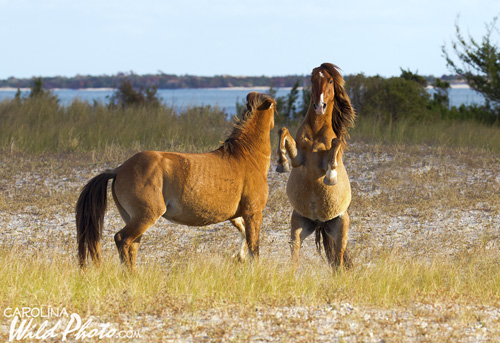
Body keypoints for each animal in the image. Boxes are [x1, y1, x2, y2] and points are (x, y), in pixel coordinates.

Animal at [76, 92, 276, 270]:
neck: (246, 157)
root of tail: (119, 169)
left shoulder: (236, 215)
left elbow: (243, 234)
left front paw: (238, 257)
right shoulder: (253, 212)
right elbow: (254, 246)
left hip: (133, 218)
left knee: (132, 245)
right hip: (146, 215)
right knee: (122, 239)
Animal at [278, 63, 356, 268]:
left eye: (330, 80)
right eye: (312, 79)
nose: (319, 106)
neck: (316, 132)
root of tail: (321, 223)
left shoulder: (325, 156)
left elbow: (336, 143)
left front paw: (331, 177)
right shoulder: (299, 159)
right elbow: (283, 130)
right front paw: (282, 164)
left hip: (341, 231)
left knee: (338, 262)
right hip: (298, 226)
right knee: (295, 255)